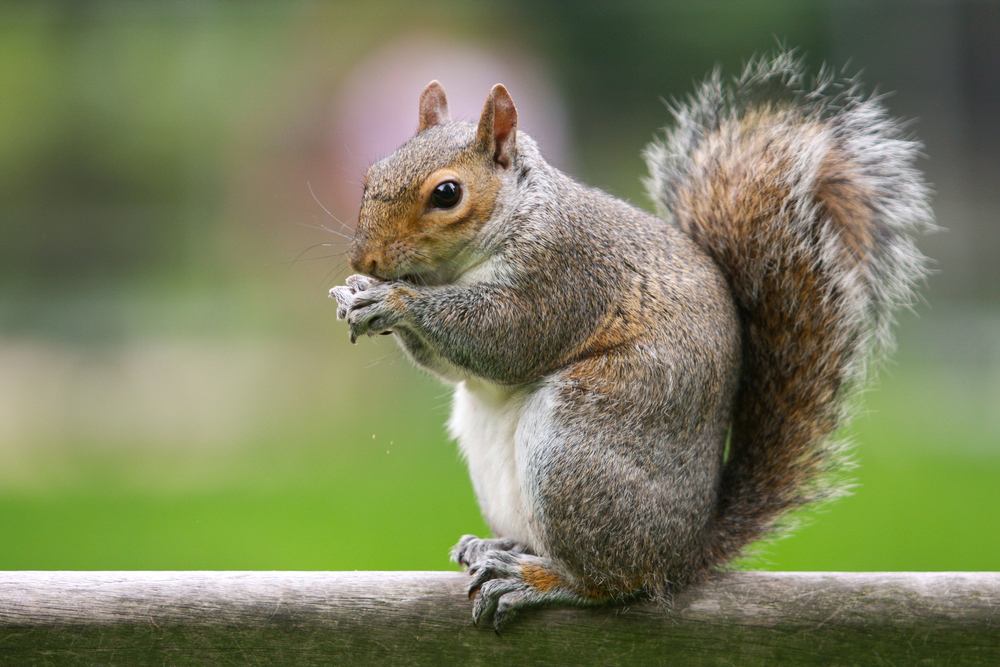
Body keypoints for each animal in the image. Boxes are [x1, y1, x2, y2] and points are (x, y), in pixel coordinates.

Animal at [332, 51, 932, 632]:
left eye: (447, 193)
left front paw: (394, 300)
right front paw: (357, 293)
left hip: (577, 450)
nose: (365, 258)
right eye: (370, 176)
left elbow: (504, 339)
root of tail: (684, 554)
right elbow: (457, 366)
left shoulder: (562, 276)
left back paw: (539, 580)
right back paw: (497, 546)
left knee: (613, 583)